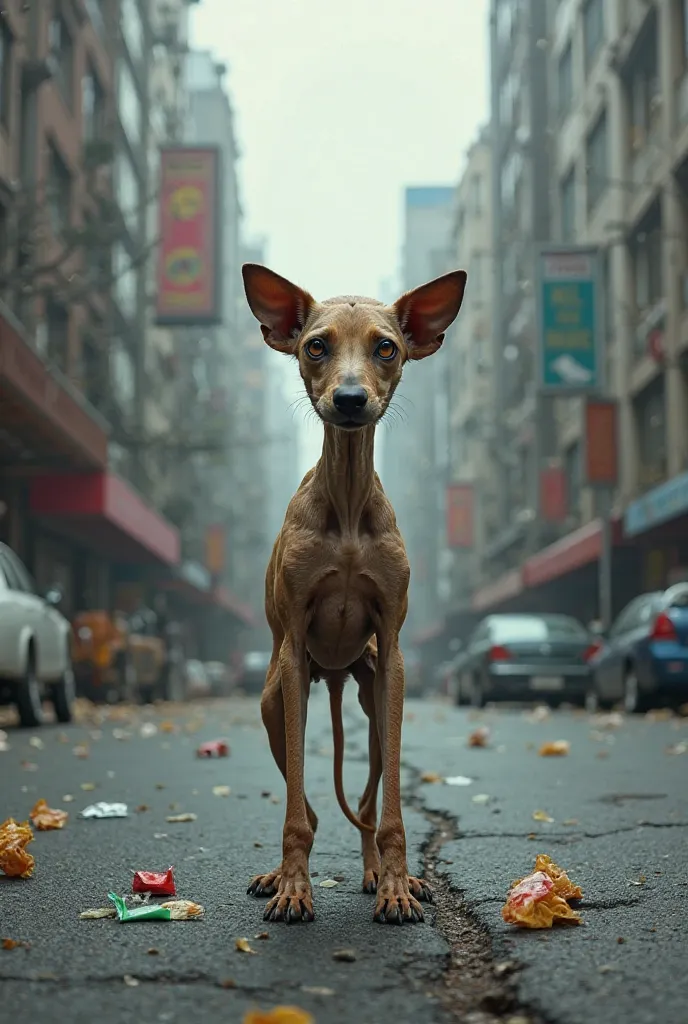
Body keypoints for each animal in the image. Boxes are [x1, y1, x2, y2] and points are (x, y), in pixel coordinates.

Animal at [240, 260, 466, 925]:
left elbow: (388, 810)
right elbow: (297, 808)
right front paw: (294, 886)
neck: (344, 506)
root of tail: (337, 674)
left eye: (386, 347)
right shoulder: (292, 656)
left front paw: (396, 884)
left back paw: (379, 874)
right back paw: (280, 873)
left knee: (367, 801)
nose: (348, 399)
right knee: (312, 804)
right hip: (275, 701)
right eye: (316, 346)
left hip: (372, 693)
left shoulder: (392, 654)